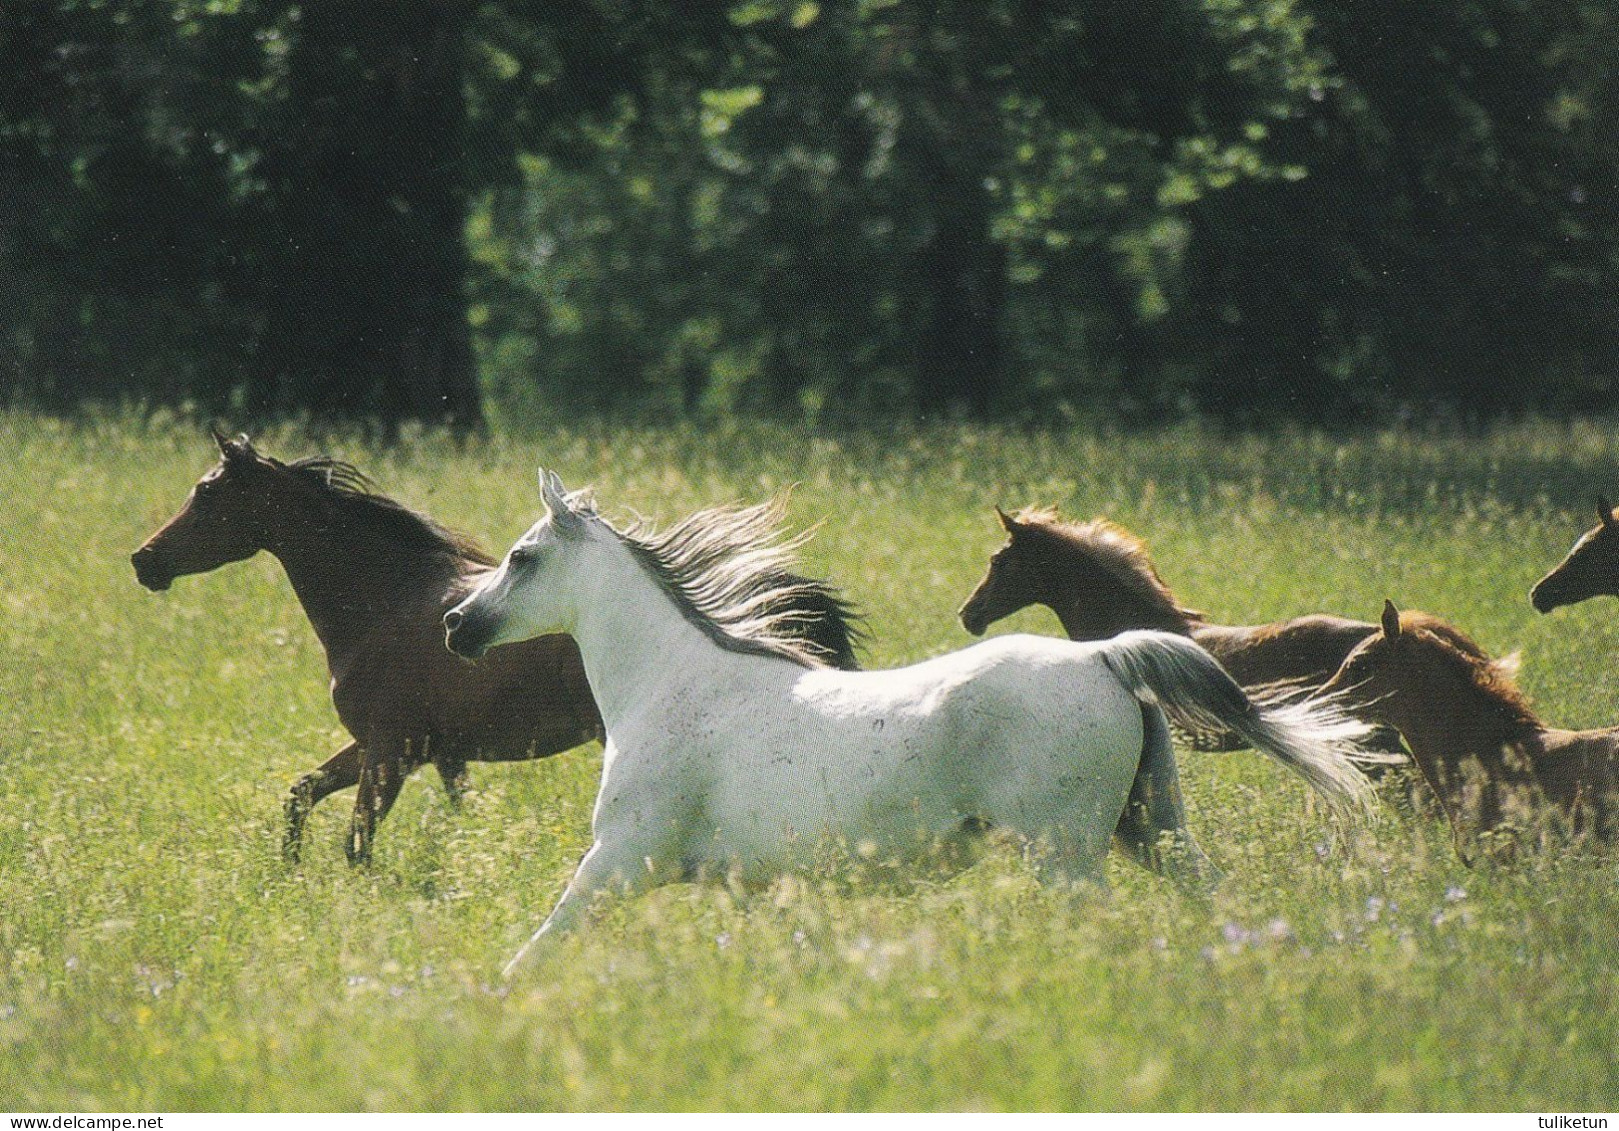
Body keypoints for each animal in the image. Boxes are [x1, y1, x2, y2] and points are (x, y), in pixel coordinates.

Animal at [132, 436, 867, 867]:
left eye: (205, 493)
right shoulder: (414, 751)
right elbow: (301, 794)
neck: (384, 602)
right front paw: (286, 870)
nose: (144, 561)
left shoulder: (391, 750)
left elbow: (356, 842)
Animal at [443, 472, 1379, 977]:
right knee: (1216, 898)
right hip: (1151, 829)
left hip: (1066, 854)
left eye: (522, 556)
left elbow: (542, 943)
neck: (671, 684)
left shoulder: (622, 858)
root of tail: (1106, 658)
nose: (456, 625)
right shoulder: (752, 882)